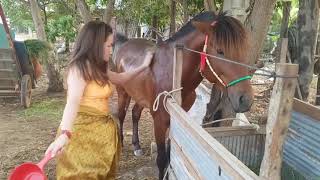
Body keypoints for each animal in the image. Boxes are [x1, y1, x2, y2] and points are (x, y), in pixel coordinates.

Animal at [114, 11, 254, 179]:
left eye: (244, 50)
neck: (173, 70)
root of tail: (125, 44)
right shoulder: (159, 121)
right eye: (220, 51)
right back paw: (121, 143)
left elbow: (170, 154)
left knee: (135, 114)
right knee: (121, 115)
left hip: (140, 97)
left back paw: (136, 146)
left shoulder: (177, 117)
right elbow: (162, 159)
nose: (245, 100)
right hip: (122, 92)